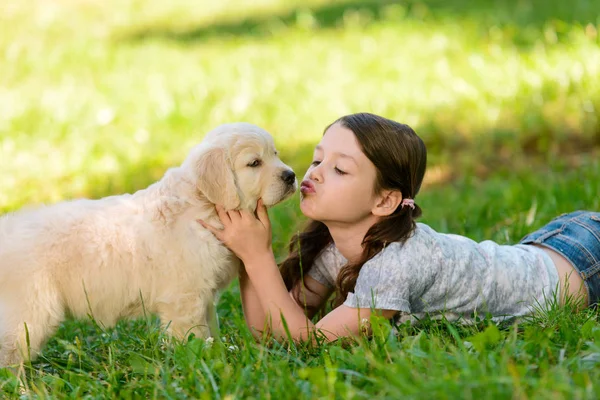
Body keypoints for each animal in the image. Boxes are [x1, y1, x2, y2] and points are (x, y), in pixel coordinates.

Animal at [0, 122, 296, 366]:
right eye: (255, 163)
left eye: (276, 154)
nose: (291, 176)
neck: (203, 204)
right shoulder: (185, 298)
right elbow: (195, 338)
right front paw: (203, 364)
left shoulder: (204, 296)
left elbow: (211, 328)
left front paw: (219, 354)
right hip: (30, 311)